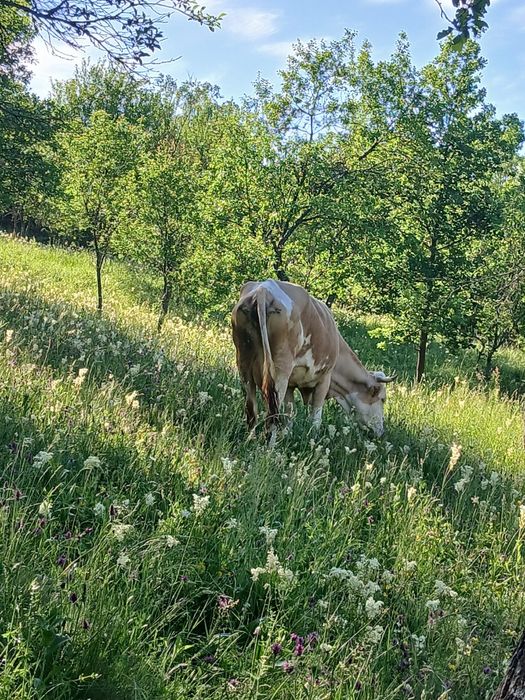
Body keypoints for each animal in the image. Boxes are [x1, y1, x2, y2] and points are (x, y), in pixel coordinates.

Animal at [231, 279, 395, 443]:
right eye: (383, 399)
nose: (381, 432)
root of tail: (264, 288)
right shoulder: (324, 378)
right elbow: (316, 417)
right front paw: (313, 440)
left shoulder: (290, 385)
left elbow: (290, 414)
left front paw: (287, 436)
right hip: (280, 371)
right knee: (272, 413)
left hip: (244, 364)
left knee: (251, 409)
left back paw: (250, 440)